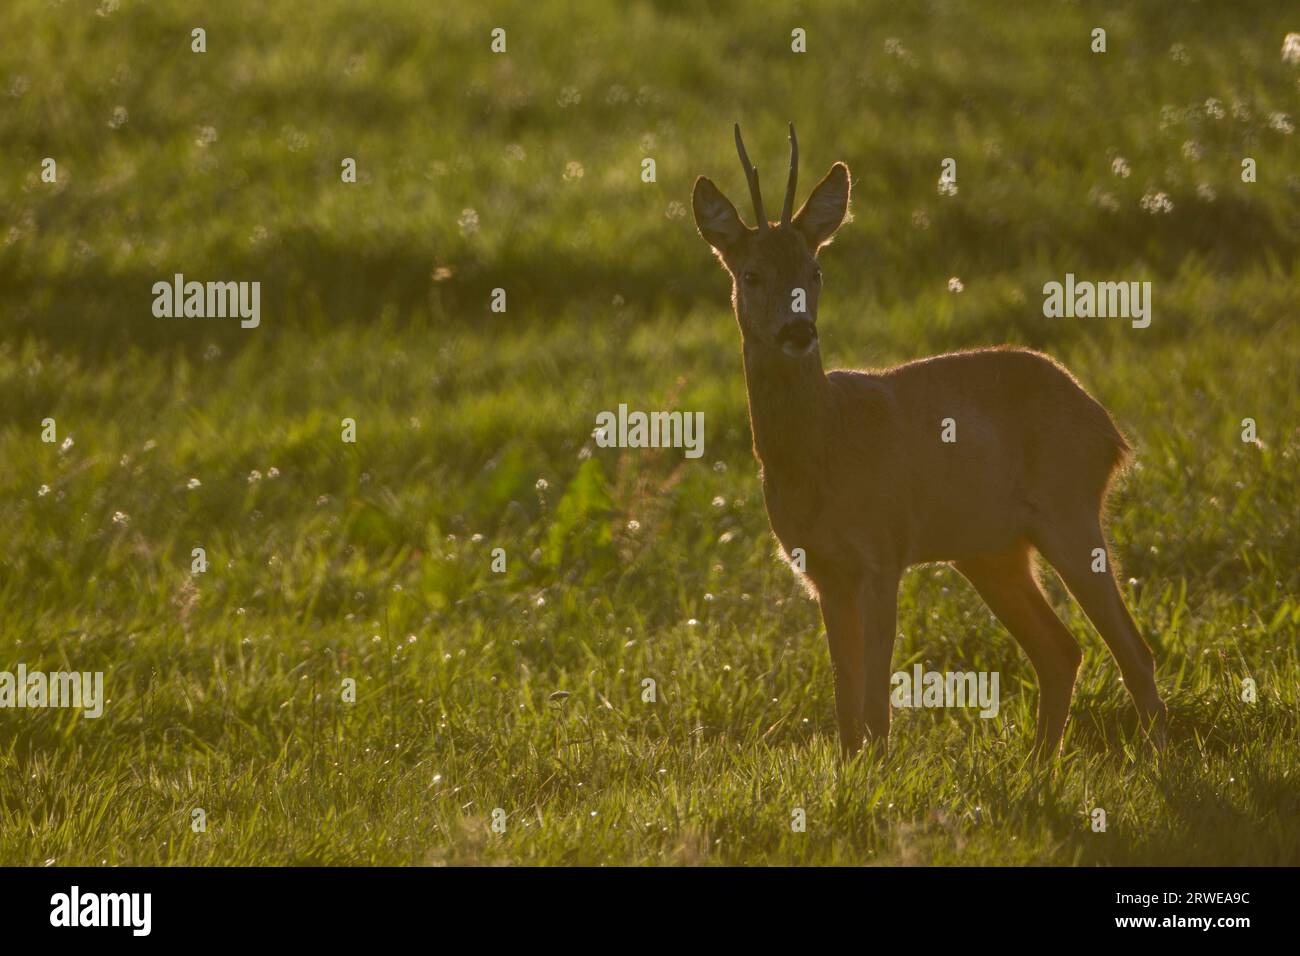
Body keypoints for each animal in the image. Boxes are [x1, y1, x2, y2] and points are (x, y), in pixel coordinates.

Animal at [691, 124, 1167, 760]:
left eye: (815, 271)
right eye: (751, 275)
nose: (797, 331)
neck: (823, 446)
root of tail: (1108, 427)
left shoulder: (882, 552)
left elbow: (875, 701)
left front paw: (878, 771)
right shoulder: (822, 571)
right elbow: (846, 702)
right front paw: (853, 771)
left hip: (1069, 511)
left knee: (1132, 650)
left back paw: (1157, 762)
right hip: (991, 550)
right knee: (1061, 651)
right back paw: (1039, 766)